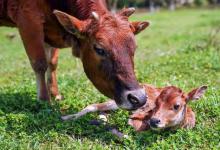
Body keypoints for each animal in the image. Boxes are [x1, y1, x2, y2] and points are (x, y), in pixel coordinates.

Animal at [0, 0, 150, 110]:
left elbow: (52, 63)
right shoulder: (28, 18)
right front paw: (44, 100)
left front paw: (55, 94)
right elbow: (39, 63)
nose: (138, 98)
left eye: (134, 47)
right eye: (99, 49)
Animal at [61, 84, 207, 132]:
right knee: (93, 106)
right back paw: (65, 117)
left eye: (177, 105)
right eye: (156, 103)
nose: (154, 121)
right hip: (116, 103)